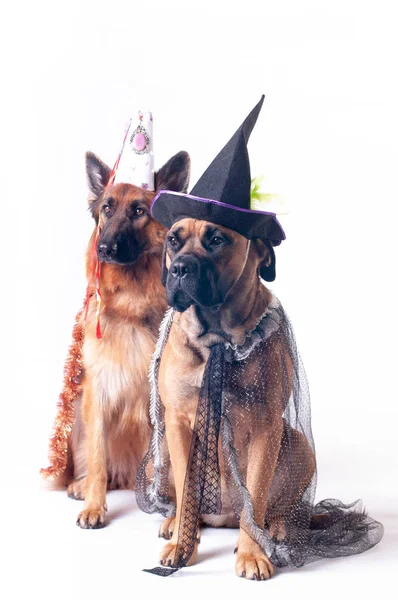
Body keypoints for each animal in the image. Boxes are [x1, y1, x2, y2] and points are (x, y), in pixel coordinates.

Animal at [67, 150, 190, 528]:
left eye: (138, 211)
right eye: (107, 208)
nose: (105, 248)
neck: (131, 301)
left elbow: (172, 463)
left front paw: (176, 516)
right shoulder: (98, 390)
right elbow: (96, 456)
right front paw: (93, 506)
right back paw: (82, 486)